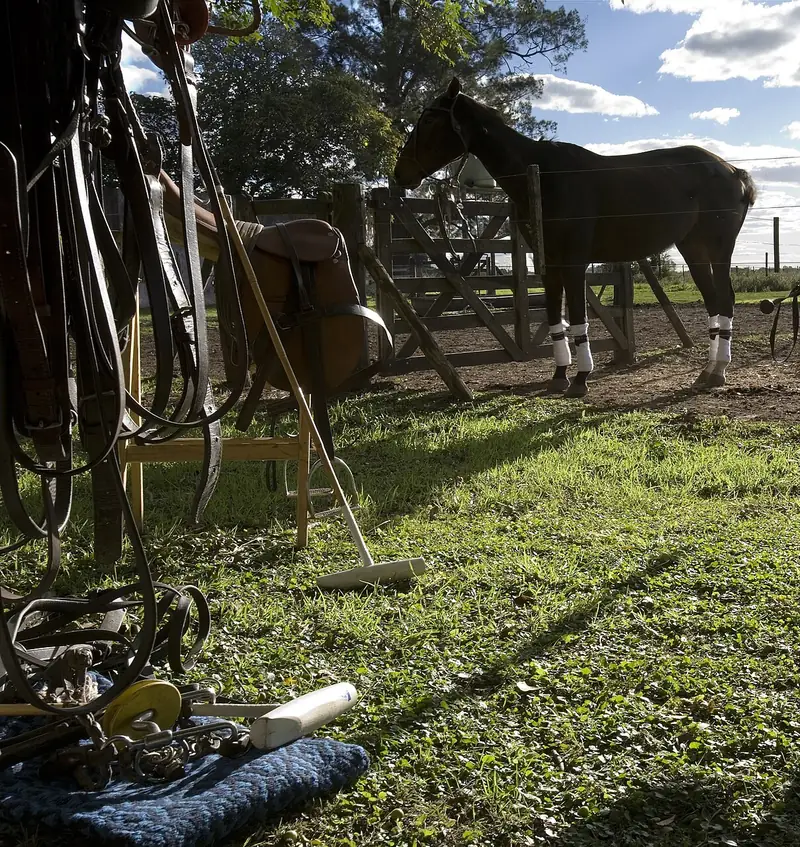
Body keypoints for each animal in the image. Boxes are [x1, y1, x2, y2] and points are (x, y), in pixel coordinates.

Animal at [394, 77, 757, 397]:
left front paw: (581, 379)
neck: (543, 177)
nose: (399, 173)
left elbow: (580, 320)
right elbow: (557, 320)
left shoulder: (574, 262)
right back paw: (708, 372)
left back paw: (718, 372)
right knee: (714, 303)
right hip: (693, 249)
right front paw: (559, 377)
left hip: (718, 249)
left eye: (429, 118)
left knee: (725, 301)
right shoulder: (549, 264)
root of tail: (734, 172)